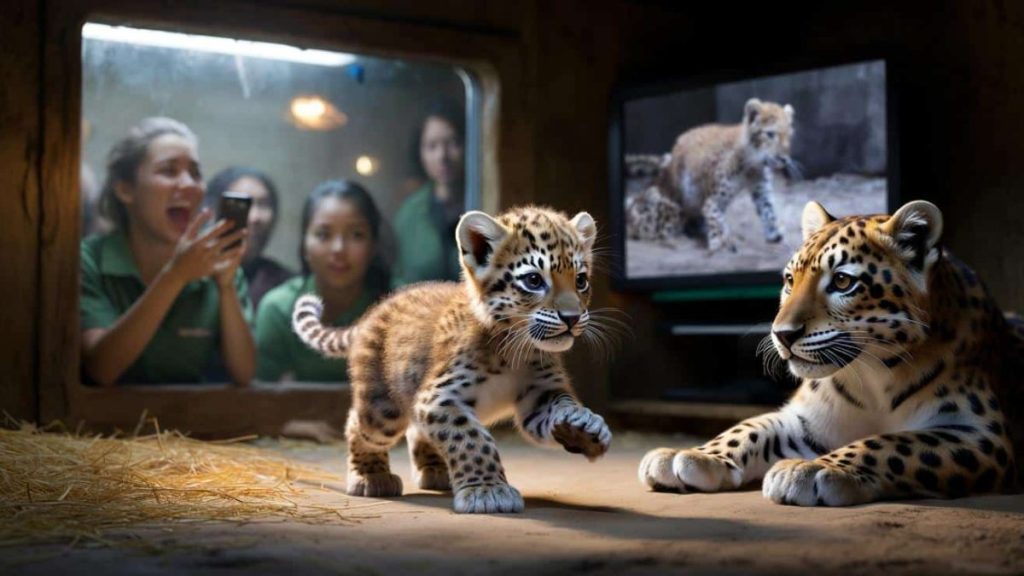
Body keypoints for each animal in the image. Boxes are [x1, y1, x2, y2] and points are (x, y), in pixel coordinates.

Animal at [292, 205, 614, 514]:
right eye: (534, 280)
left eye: (581, 280)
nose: (572, 318)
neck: (515, 351)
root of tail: (374, 310)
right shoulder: (439, 397)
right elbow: (471, 439)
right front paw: (487, 491)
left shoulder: (541, 393)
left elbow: (561, 405)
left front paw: (584, 426)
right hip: (382, 409)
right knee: (358, 425)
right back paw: (371, 476)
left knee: (417, 429)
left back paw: (436, 471)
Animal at [640, 199, 1023, 505]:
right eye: (789, 280)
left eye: (842, 282)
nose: (783, 334)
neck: (875, 378)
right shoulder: (805, 419)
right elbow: (750, 427)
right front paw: (690, 454)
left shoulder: (980, 433)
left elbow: (891, 443)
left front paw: (811, 469)